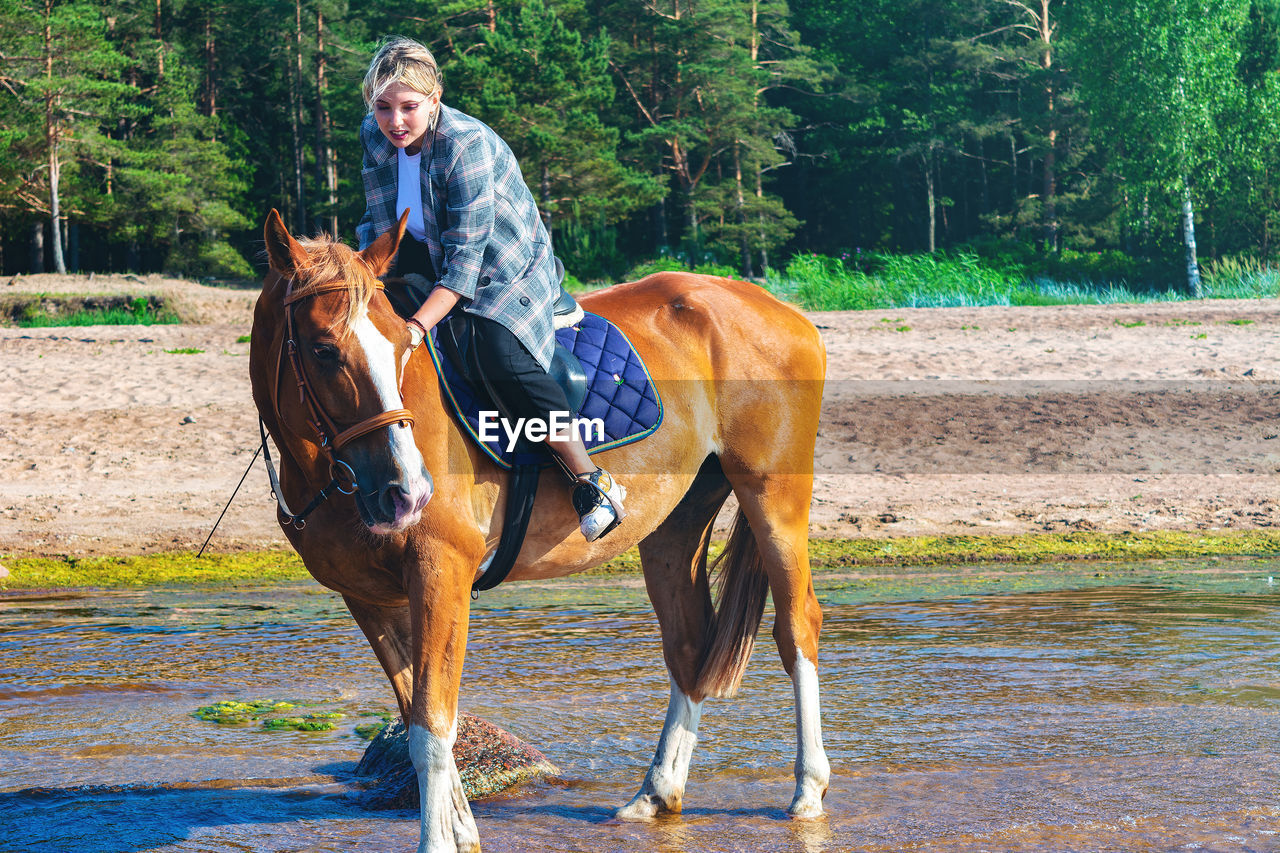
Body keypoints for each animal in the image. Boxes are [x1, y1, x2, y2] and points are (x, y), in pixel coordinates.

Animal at [249, 207, 829, 850]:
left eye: (403, 344)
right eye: (324, 351)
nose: (408, 490)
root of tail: (775, 306)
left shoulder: (441, 571)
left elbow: (432, 727)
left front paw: (439, 837)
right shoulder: (368, 597)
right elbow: (419, 718)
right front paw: (460, 829)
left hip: (773, 496)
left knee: (797, 626)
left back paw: (807, 789)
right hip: (675, 524)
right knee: (688, 644)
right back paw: (655, 793)